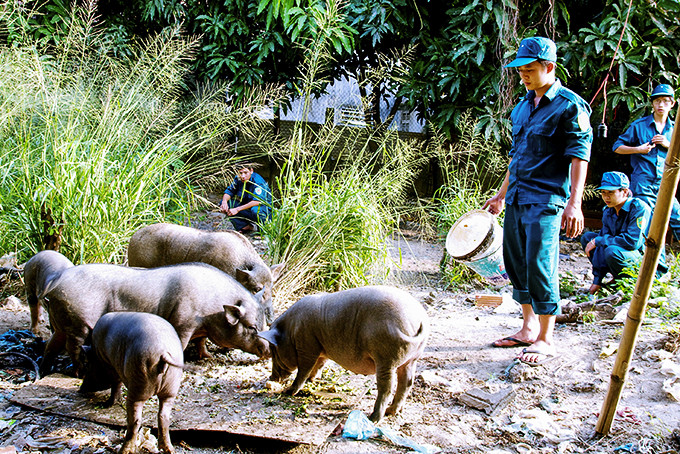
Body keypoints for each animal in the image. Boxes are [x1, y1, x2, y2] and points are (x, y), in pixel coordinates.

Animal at [40, 262, 270, 376]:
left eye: (264, 323)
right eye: (251, 327)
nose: (269, 350)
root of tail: (55, 282)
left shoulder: (201, 328)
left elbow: (201, 341)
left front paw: (207, 357)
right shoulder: (183, 321)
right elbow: (182, 342)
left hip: (61, 323)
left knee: (51, 345)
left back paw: (44, 370)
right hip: (77, 322)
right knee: (73, 347)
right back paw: (79, 373)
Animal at [80, 312, 183, 454]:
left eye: (87, 365)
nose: (81, 390)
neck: (97, 354)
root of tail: (163, 352)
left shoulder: (110, 365)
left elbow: (116, 383)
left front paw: (107, 404)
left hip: (138, 384)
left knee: (135, 420)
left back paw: (124, 450)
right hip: (171, 388)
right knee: (163, 416)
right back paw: (168, 449)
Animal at [260, 286, 430, 424]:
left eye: (274, 351)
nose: (271, 377)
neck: (291, 330)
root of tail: (418, 318)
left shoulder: (307, 347)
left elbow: (304, 370)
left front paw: (288, 391)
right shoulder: (322, 350)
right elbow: (318, 366)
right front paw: (312, 380)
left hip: (387, 358)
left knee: (387, 387)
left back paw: (373, 418)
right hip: (412, 359)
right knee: (407, 383)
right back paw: (392, 411)